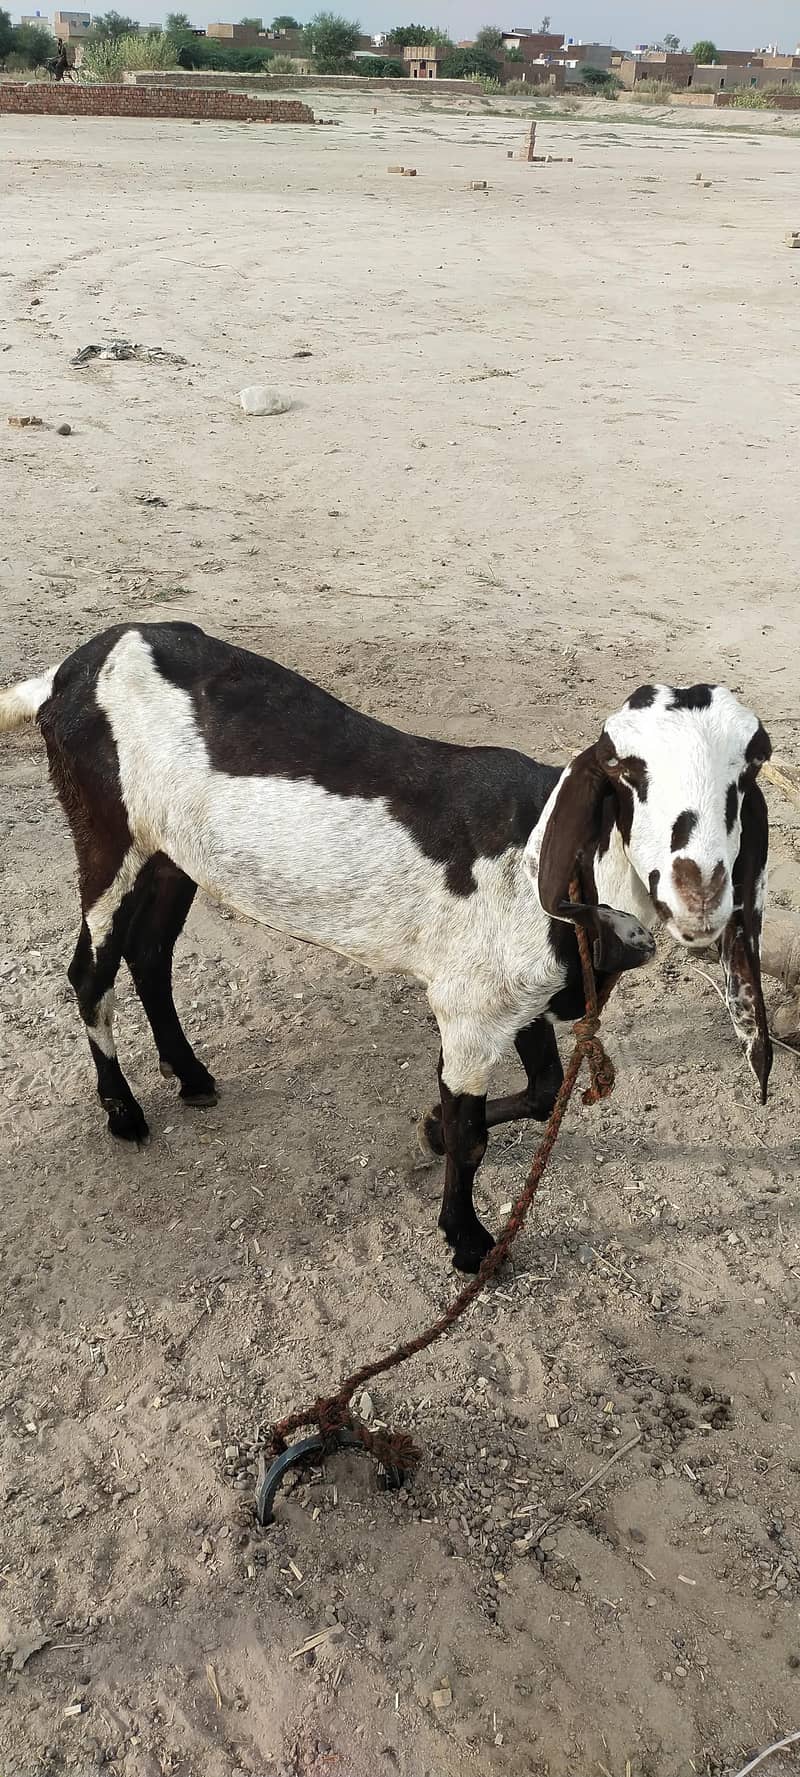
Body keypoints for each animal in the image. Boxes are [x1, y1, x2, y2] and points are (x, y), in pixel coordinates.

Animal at [0, 623, 772, 1273]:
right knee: (90, 970)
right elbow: (473, 1135)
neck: (547, 854)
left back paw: (189, 1075)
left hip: (172, 855)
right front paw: (468, 1242)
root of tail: (66, 675)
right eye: (626, 773)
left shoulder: (516, 998)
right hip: (107, 830)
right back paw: (124, 1112)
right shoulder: (470, 1010)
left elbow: (544, 1088)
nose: (700, 888)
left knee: (151, 954)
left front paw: (429, 1130)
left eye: (747, 774)